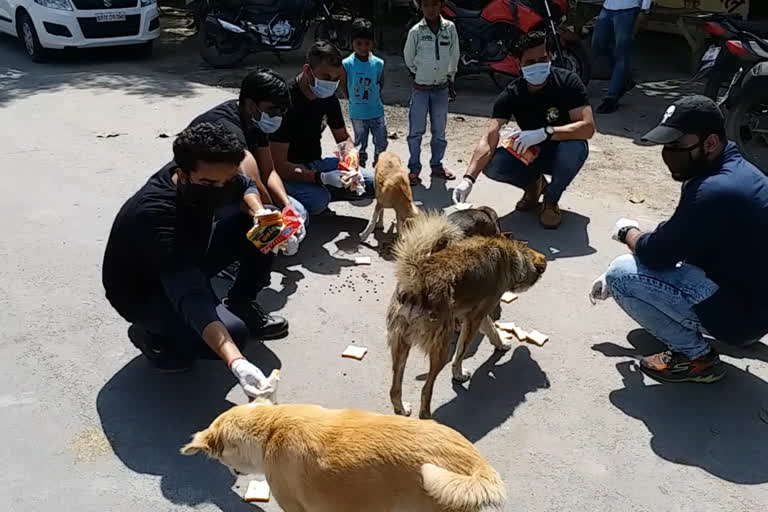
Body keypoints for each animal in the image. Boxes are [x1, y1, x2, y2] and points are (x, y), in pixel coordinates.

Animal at [388, 212, 548, 420]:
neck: (511, 254)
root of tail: (416, 284)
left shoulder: (479, 313)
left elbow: (492, 330)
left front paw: (501, 343)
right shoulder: (473, 319)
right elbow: (461, 353)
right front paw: (459, 374)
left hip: (400, 345)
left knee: (394, 388)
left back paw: (401, 408)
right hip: (440, 349)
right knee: (425, 390)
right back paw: (427, 417)